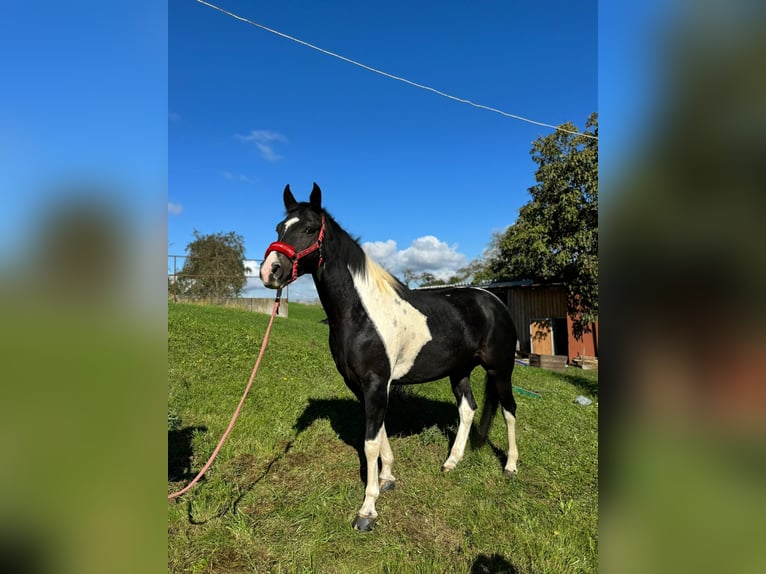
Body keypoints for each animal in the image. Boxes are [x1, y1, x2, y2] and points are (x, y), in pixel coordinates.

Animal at [260, 183, 519, 531]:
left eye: (310, 228)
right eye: (279, 228)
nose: (270, 271)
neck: (361, 313)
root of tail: (494, 301)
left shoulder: (375, 383)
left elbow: (369, 442)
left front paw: (367, 509)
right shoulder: (362, 386)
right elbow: (379, 432)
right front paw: (387, 478)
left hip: (500, 370)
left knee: (509, 411)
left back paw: (510, 467)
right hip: (459, 370)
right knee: (468, 410)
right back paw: (451, 462)